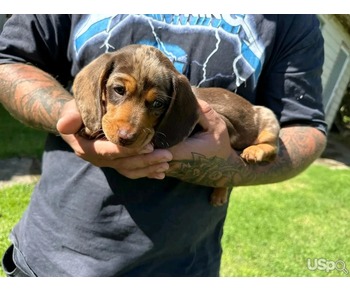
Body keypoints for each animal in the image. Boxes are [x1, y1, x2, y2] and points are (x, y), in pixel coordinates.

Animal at [73, 44, 278, 206]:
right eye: (118, 90)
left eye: (158, 103)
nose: (126, 138)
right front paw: (91, 129)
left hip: (268, 118)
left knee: (273, 150)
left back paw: (254, 152)